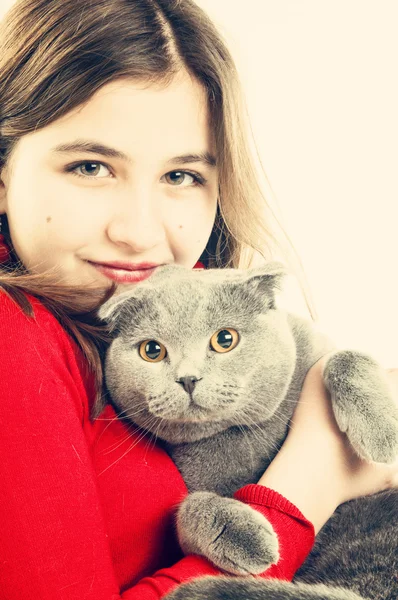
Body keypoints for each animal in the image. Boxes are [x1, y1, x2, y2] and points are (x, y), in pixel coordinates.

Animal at [97, 262, 398, 600]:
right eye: (152, 350)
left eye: (225, 339)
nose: (188, 378)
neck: (243, 433)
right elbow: (186, 509)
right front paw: (244, 538)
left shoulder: (320, 349)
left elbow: (346, 356)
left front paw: (381, 432)